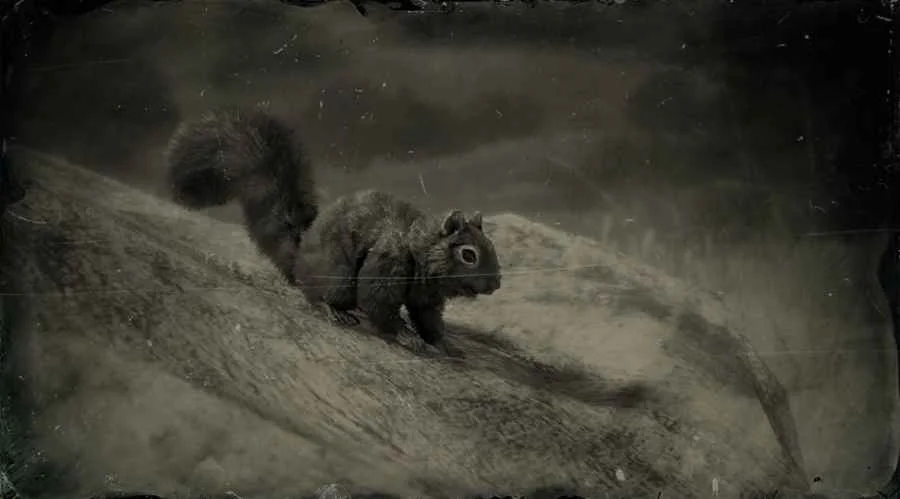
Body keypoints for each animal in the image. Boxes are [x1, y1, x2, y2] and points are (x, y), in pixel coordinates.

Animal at [164, 107, 502, 354]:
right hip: (337, 277)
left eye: (491, 246)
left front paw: (443, 341)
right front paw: (408, 337)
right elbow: (380, 306)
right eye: (468, 255)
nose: (496, 285)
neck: (418, 249)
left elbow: (429, 320)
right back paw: (335, 311)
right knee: (316, 294)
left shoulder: (426, 298)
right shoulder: (386, 265)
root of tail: (299, 256)